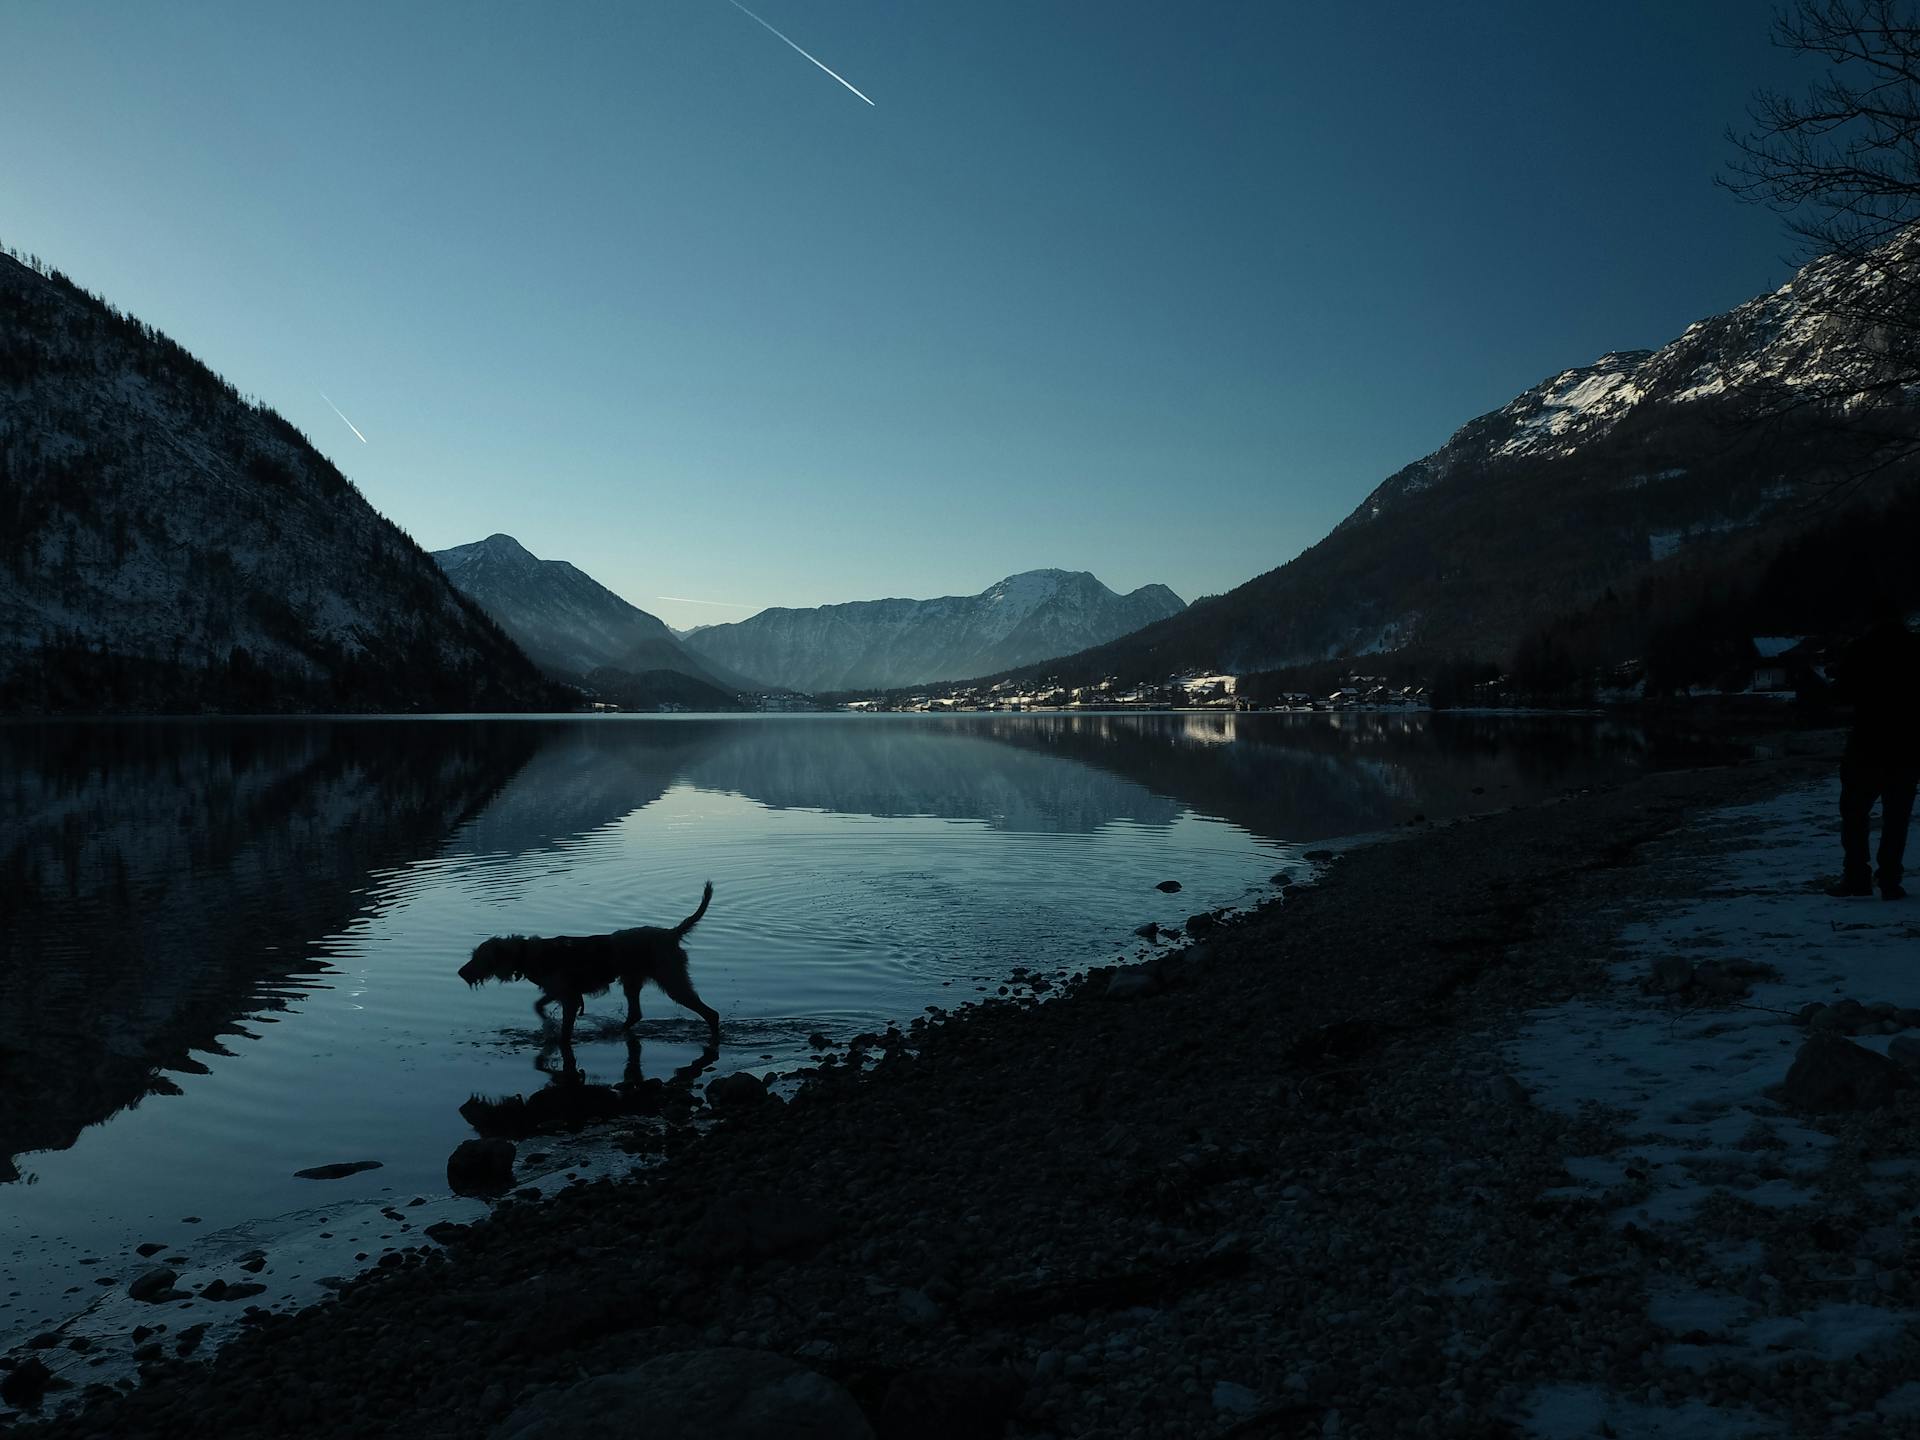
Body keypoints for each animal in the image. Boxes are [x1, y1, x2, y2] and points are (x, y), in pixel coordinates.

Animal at [458, 879, 721, 1052]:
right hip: (632, 981)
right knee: (635, 1014)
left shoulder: (570, 999)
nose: (461, 973)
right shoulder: (562, 992)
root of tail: (671, 933)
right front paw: (547, 1023)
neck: (527, 953)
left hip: (672, 982)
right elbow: (538, 1005)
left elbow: (565, 1032)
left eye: (478, 957)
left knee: (711, 1014)